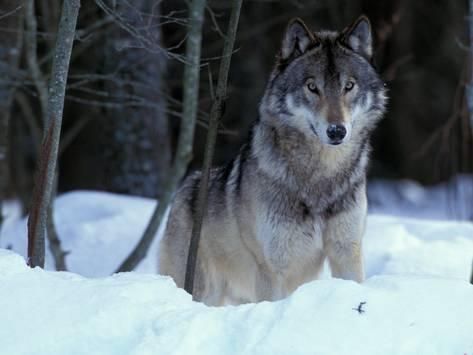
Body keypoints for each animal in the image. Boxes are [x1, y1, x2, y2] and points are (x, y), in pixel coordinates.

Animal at [159, 16, 388, 306]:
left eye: (349, 86)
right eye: (312, 87)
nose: (337, 131)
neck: (321, 177)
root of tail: (183, 189)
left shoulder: (347, 252)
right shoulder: (272, 268)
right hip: (204, 290)